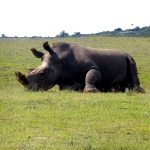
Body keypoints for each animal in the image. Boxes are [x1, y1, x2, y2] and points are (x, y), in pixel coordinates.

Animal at [14, 41, 144, 92]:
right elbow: (63, 87)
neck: (60, 60)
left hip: (129, 57)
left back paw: (137, 91)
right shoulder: (63, 77)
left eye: (42, 74)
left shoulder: (92, 67)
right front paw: (76, 86)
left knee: (133, 66)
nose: (28, 88)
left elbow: (91, 74)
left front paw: (90, 91)